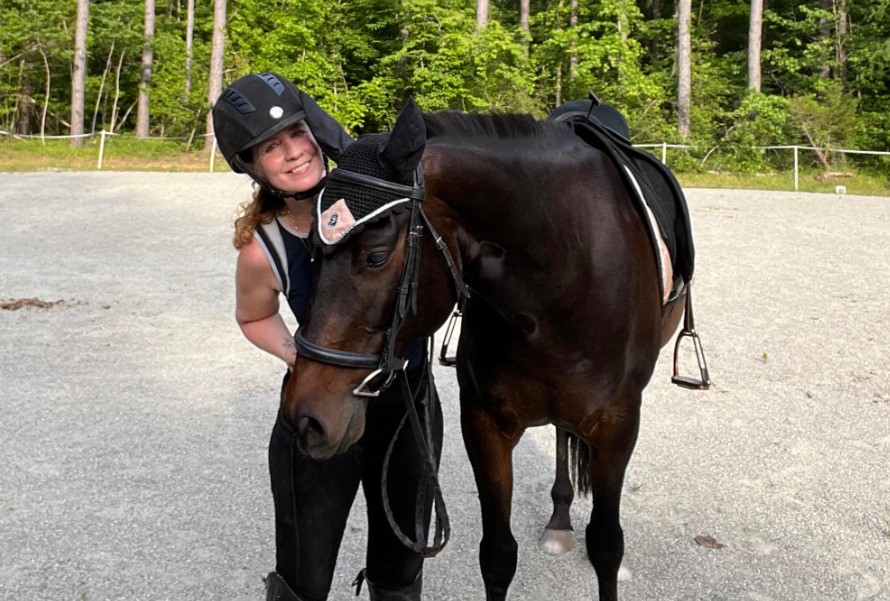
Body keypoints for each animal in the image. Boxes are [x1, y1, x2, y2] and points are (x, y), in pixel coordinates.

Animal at [285, 98, 701, 601]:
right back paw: (559, 518)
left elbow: (606, 546)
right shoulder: (484, 424)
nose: (306, 417)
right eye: (311, 247)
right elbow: (498, 556)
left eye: (376, 256)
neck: (557, 282)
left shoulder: (617, 425)